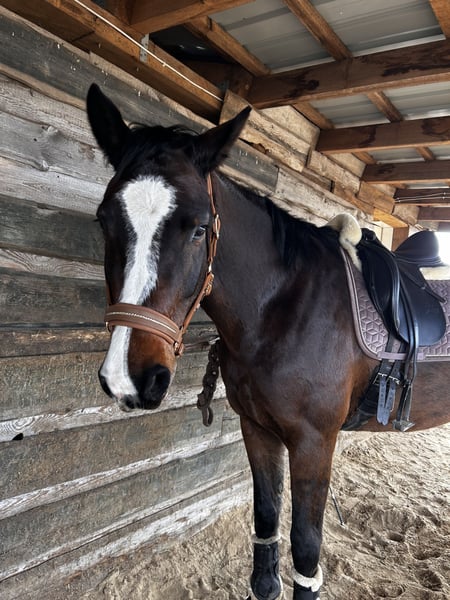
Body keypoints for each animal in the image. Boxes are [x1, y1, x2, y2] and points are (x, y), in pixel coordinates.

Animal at [86, 83, 449, 600]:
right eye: (104, 220)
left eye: (200, 227)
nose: (128, 379)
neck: (282, 309)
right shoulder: (257, 429)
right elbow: (266, 524)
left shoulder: (314, 441)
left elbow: (305, 547)